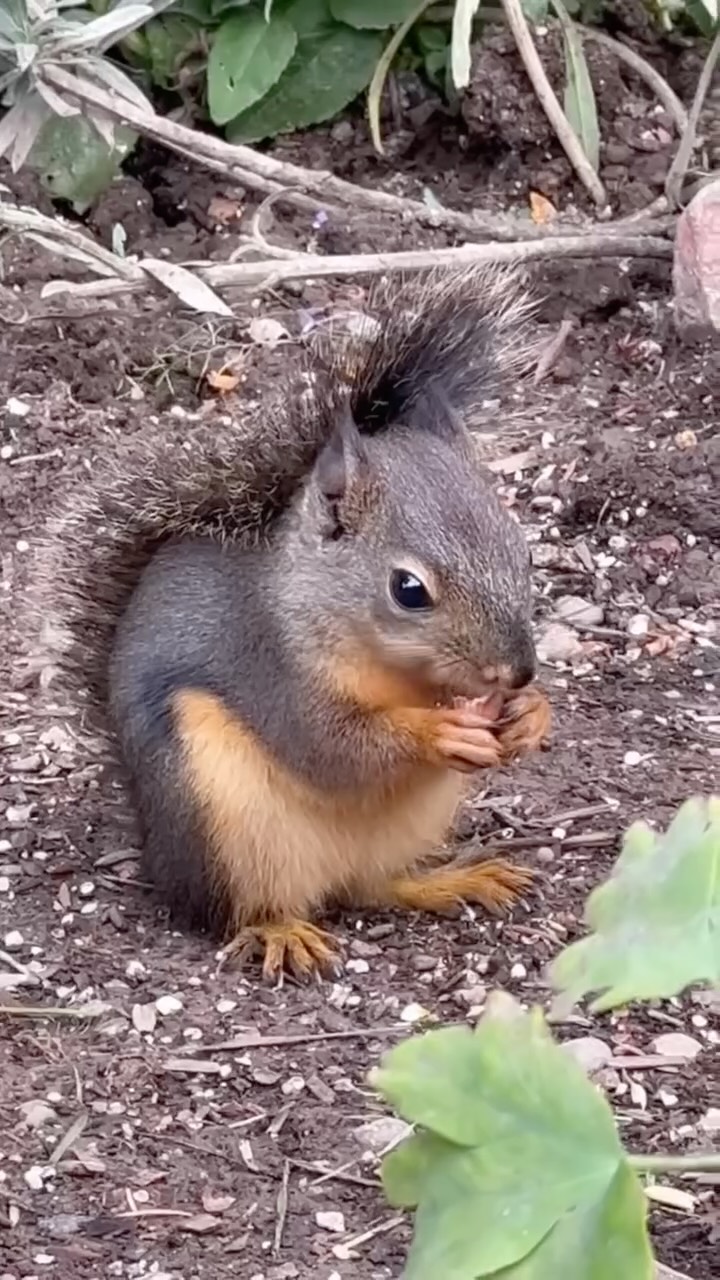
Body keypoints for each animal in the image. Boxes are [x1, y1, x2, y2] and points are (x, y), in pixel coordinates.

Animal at [27, 266, 551, 980]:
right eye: (409, 590)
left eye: (523, 551)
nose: (518, 670)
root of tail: (156, 846)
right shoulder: (270, 667)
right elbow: (330, 748)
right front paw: (439, 731)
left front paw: (532, 715)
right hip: (220, 814)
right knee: (245, 908)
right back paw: (281, 932)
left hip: (407, 826)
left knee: (377, 885)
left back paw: (453, 880)